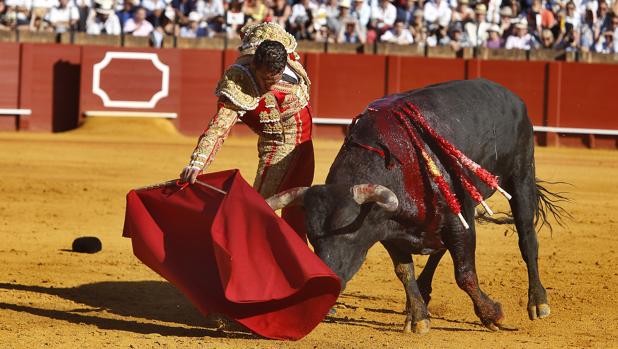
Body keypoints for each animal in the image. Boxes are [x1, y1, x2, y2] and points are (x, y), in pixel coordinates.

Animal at [264, 77, 564, 334]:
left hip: (521, 174)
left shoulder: (459, 219)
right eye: (312, 238)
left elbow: (464, 274)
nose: (326, 287)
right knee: (439, 250)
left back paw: (538, 303)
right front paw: (418, 317)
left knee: (527, 238)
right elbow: (404, 272)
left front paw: (492, 315)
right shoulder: (390, 231)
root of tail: (512, 96)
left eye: (347, 235)